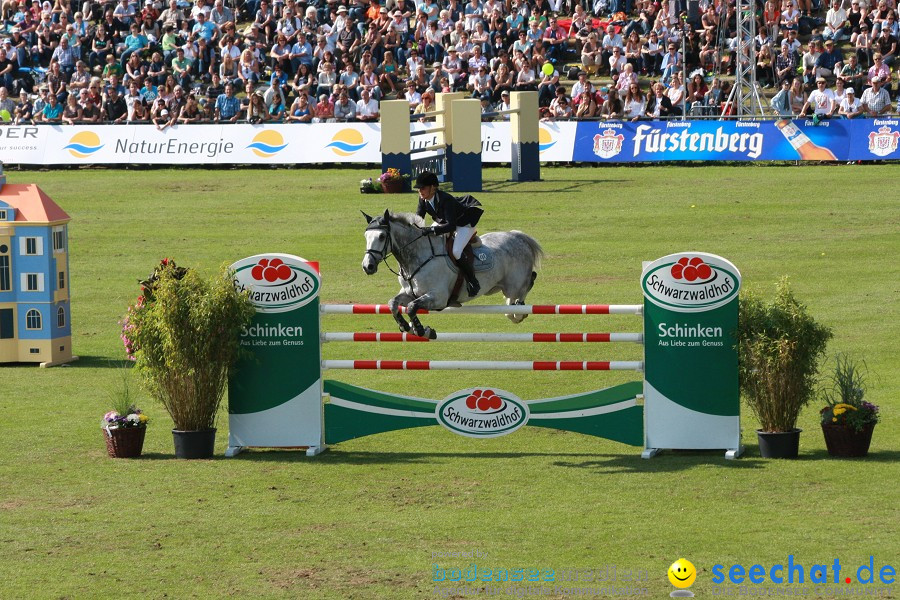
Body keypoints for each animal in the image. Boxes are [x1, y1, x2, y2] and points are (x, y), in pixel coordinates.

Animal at [362, 210, 544, 340]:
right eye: (366, 236)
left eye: (382, 236)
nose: (367, 266)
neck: (417, 257)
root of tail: (517, 236)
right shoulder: (409, 293)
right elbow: (393, 303)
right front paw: (406, 327)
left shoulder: (438, 298)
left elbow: (412, 307)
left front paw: (422, 330)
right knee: (514, 298)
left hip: (513, 284)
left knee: (526, 285)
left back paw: (518, 313)